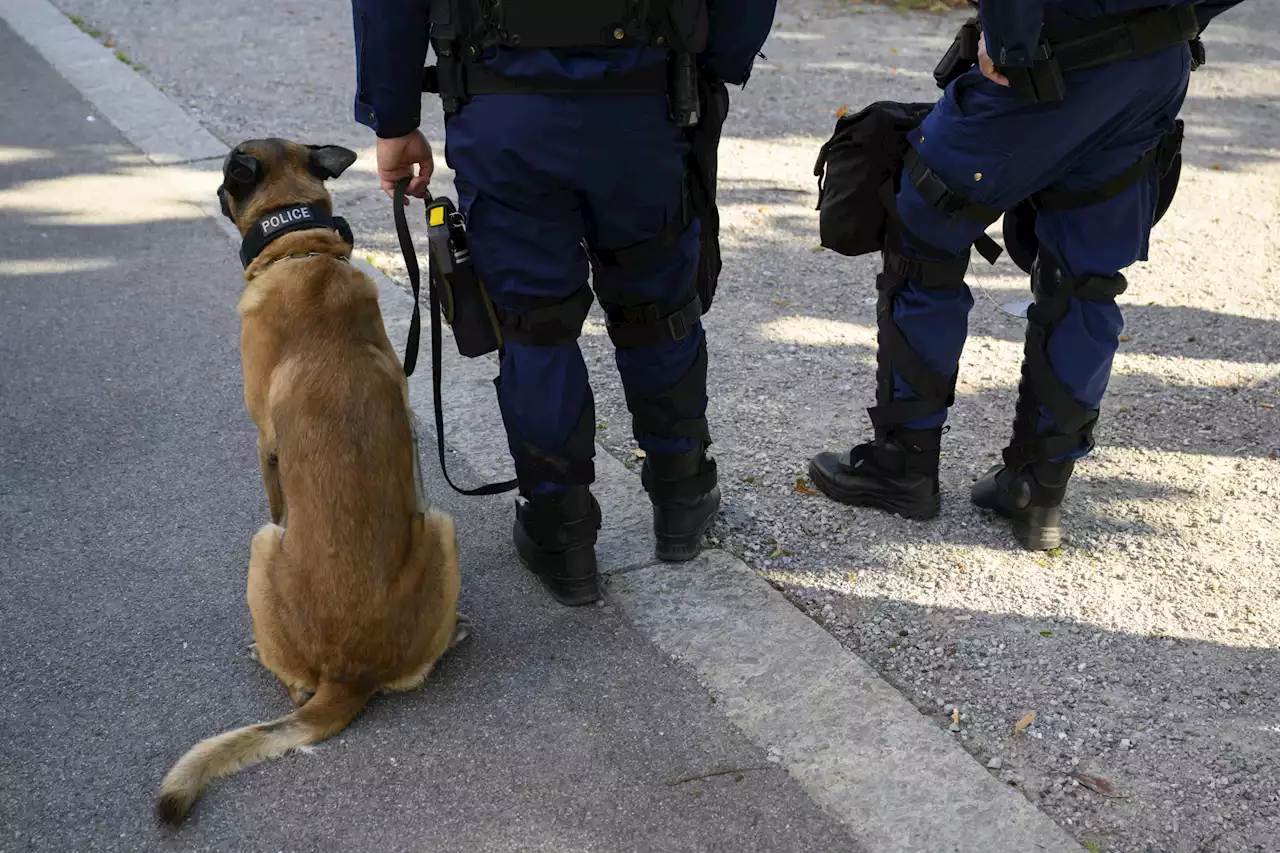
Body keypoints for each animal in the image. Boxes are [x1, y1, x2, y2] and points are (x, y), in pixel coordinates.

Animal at [154, 139, 465, 824]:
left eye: (226, 174)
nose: (214, 187)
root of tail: (349, 675)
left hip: (265, 545)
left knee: (296, 677)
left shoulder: (264, 447)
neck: (303, 250)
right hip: (437, 525)